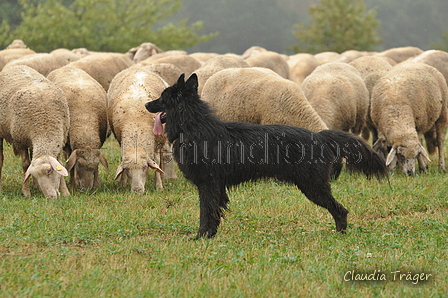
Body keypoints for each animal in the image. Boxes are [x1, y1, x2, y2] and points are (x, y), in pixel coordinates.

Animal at [0, 66, 70, 199]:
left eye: (49, 170)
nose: (51, 197)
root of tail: (16, 66)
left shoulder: (61, 140)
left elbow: (60, 164)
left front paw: (65, 192)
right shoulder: (20, 140)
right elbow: (25, 164)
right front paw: (26, 192)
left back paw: (36, 186)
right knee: (1, 158)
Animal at [145, 73, 386, 239]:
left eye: (162, 97)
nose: (146, 103)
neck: (193, 125)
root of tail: (319, 136)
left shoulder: (208, 184)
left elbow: (206, 212)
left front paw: (201, 237)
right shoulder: (215, 186)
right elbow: (214, 213)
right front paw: (210, 235)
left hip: (313, 187)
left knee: (340, 210)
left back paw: (340, 233)